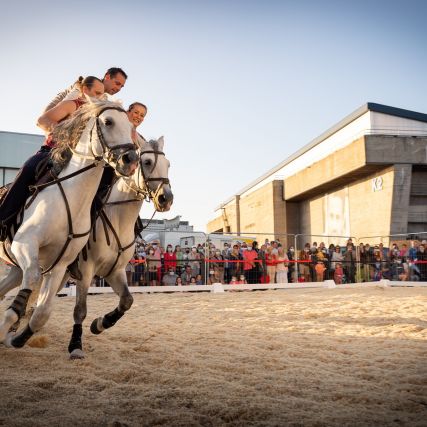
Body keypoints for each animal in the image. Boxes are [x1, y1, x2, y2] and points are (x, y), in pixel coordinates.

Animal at [0, 102, 139, 350]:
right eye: (108, 122)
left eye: (131, 127)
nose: (130, 159)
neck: (73, 198)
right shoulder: (25, 244)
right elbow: (31, 283)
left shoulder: (60, 264)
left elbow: (42, 312)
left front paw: (17, 339)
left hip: (15, 268)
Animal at [68, 136, 172, 358]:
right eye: (147, 162)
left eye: (168, 165)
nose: (166, 198)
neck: (117, 218)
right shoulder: (86, 271)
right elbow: (80, 310)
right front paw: (75, 345)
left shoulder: (115, 271)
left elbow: (127, 301)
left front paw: (99, 324)